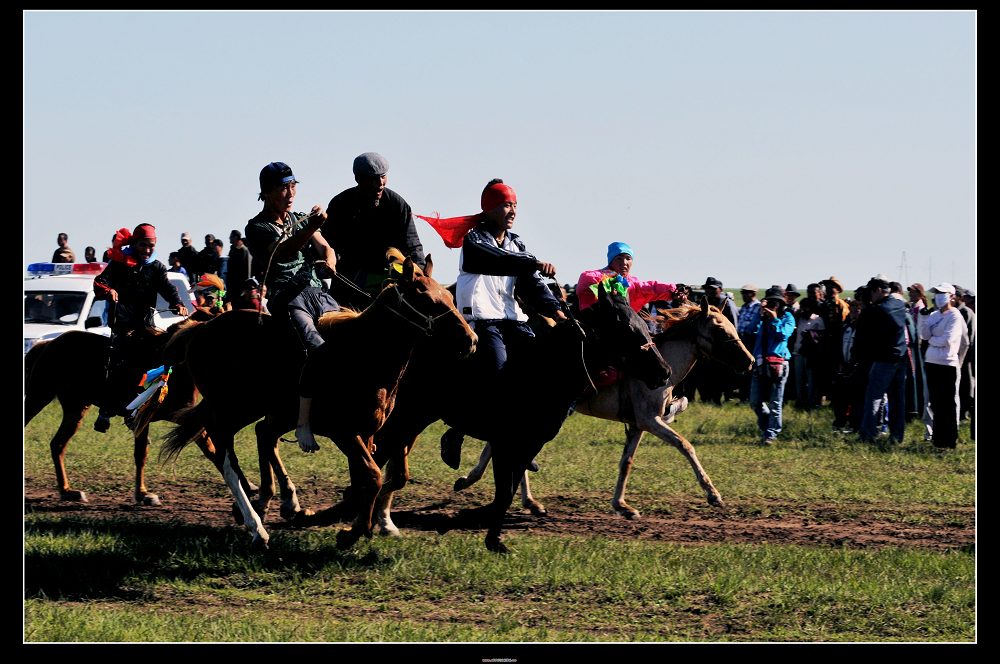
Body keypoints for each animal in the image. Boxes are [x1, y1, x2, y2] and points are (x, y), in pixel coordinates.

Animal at [24, 320, 224, 506]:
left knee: (57, 444)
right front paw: (143, 494)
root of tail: (47, 345)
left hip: (76, 408)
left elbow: (210, 449)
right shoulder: (146, 417)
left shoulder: (183, 416)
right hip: (38, 396)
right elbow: (141, 453)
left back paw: (67, 491)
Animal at [163, 252, 476, 548]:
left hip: (266, 410)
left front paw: (359, 525)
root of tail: (200, 330)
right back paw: (256, 526)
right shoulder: (344, 432)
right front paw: (352, 533)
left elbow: (367, 479)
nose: (471, 340)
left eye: (449, 297)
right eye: (429, 300)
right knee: (225, 453)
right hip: (233, 408)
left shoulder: (368, 433)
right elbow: (373, 476)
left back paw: (275, 502)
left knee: (262, 434)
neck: (365, 354)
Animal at [368, 282, 672, 556]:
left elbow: (509, 491)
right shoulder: (506, 444)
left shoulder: (529, 444)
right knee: (380, 456)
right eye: (626, 328)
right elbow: (503, 492)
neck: (538, 372)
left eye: (645, 325)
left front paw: (493, 537)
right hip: (406, 417)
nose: (664, 372)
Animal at [452, 300, 752, 520]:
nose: (749, 361)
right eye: (721, 331)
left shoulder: (638, 424)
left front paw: (622, 505)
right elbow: (685, 445)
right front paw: (713, 494)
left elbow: (626, 462)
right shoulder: (651, 420)